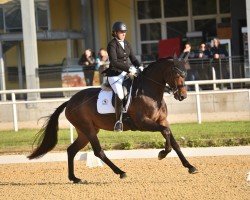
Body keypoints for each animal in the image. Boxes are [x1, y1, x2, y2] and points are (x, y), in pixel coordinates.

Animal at [28, 54, 198, 183]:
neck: (149, 92)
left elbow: (173, 141)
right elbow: (166, 134)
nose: (182, 96)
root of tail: (70, 101)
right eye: (177, 74)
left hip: (85, 132)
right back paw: (121, 172)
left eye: (185, 74)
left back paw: (75, 178)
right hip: (88, 130)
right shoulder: (143, 123)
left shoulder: (162, 121)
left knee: (71, 150)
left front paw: (190, 166)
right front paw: (162, 153)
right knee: (98, 152)